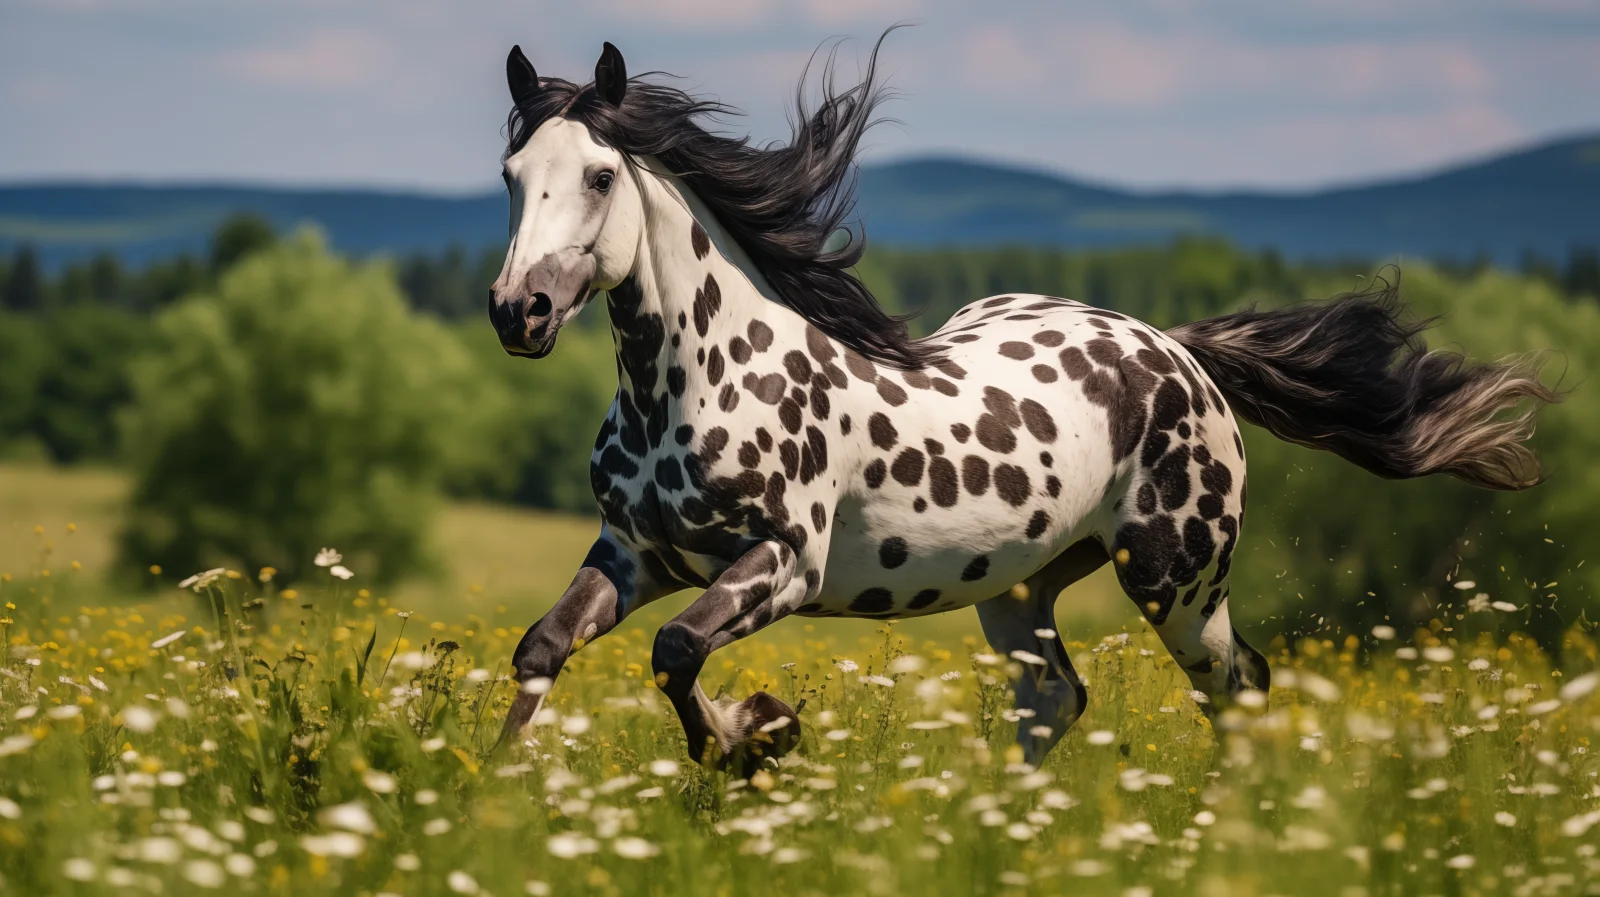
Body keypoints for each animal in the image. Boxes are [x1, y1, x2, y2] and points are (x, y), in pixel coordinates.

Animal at [488, 39, 1558, 774]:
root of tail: (1177, 350)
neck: (698, 378)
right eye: (510, 177)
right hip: (1018, 590)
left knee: (1237, 684)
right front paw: (495, 791)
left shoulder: (782, 565)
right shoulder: (637, 556)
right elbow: (544, 649)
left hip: (1177, 583)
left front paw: (757, 734)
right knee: (1058, 696)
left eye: (598, 176)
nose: (517, 310)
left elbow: (676, 650)